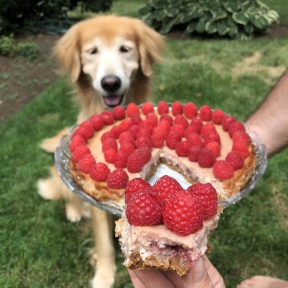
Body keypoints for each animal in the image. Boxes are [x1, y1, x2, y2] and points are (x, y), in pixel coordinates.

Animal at [37, 14, 164, 286]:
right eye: (92, 51)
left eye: (125, 49)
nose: (111, 83)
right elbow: (104, 241)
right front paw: (104, 276)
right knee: (66, 193)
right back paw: (74, 211)